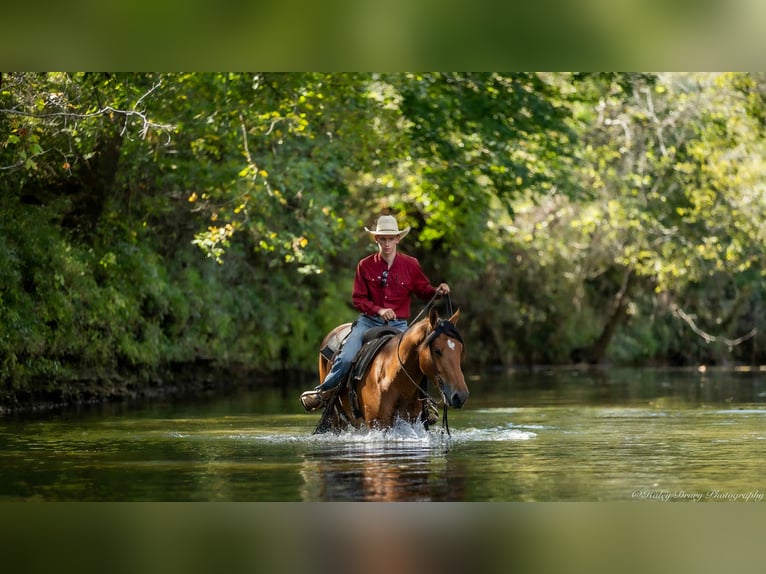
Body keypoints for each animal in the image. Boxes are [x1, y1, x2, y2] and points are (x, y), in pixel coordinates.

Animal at [313, 307, 468, 433]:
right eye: (437, 351)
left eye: (460, 350)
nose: (460, 396)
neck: (393, 379)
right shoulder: (379, 424)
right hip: (335, 419)